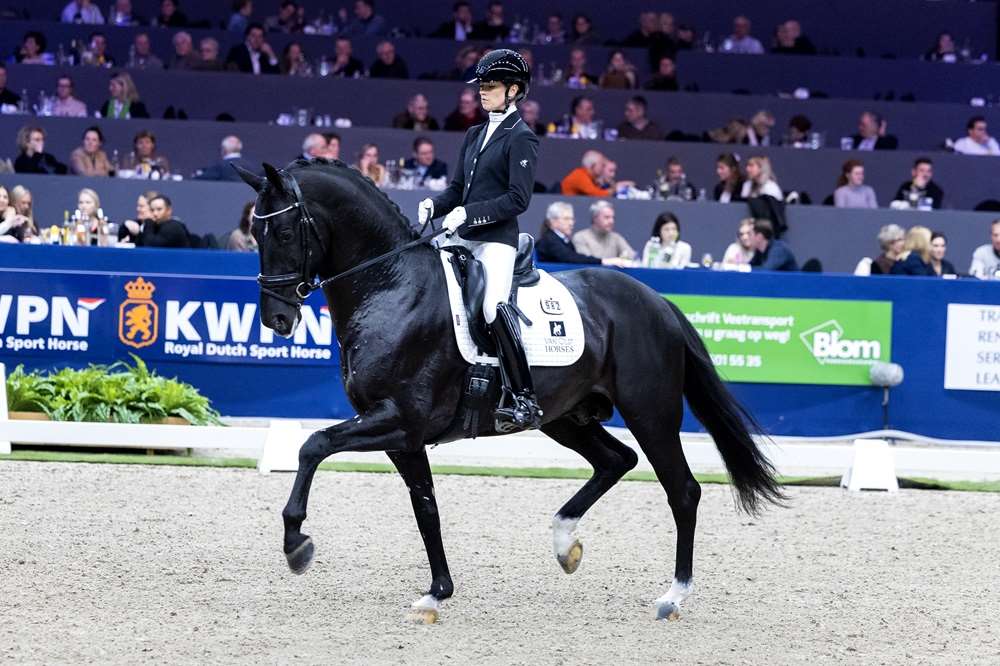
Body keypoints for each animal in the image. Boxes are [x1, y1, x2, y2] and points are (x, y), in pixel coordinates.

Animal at [234, 158, 783, 623]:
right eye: (255, 231)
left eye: (285, 231)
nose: (277, 319)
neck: (392, 286)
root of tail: (656, 300)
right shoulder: (402, 436)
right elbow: (426, 507)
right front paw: (437, 593)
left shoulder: (399, 419)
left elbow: (313, 444)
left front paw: (297, 543)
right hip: (565, 417)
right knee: (616, 461)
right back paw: (565, 545)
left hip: (650, 412)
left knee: (682, 490)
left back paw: (673, 596)